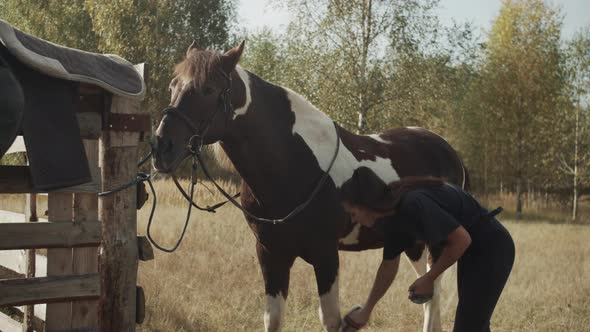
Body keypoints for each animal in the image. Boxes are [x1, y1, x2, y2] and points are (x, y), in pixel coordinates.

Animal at [155, 41, 470, 332]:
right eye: (173, 86)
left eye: (208, 89)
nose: (161, 147)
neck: (293, 166)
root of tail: (448, 151)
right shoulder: (271, 254)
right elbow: (273, 318)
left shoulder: (326, 255)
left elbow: (330, 319)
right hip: (413, 243)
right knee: (429, 290)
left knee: (432, 290)